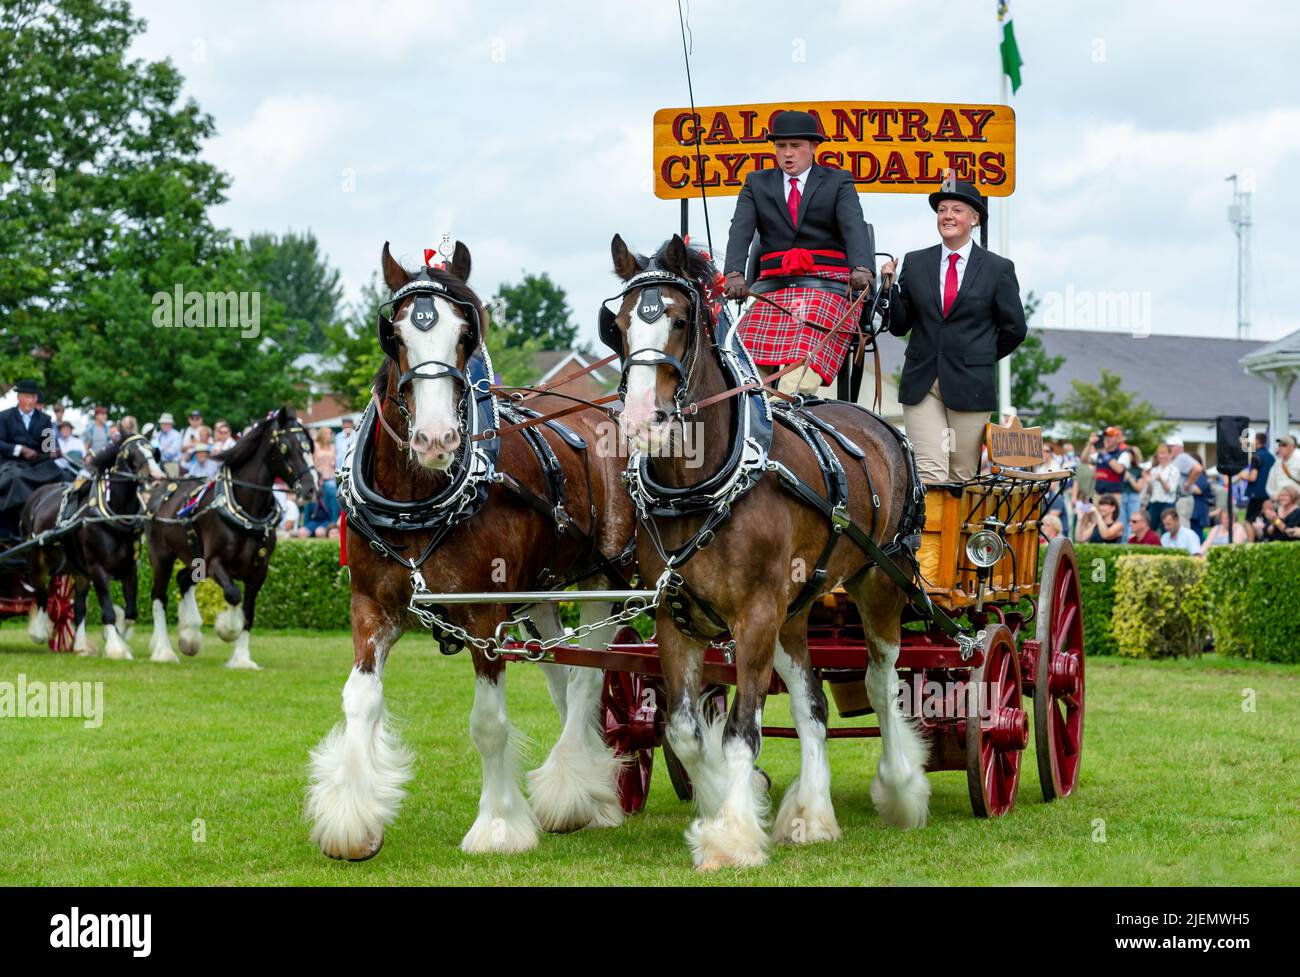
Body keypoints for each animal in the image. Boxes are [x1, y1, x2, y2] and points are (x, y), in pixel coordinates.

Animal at [20, 433, 165, 657]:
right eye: (130, 454)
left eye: (153, 451)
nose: (156, 477)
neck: (113, 514)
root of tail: (37, 495)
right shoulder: (98, 568)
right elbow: (107, 610)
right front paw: (116, 648)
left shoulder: (130, 568)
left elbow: (131, 613)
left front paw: (116, 637)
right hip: (36, 560)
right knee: (41, 594)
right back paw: (40, 632)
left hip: (79, 571)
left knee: (79, 608)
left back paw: (79, 645)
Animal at [301, 240, 631, 857]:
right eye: (395, 334)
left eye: (466, 333)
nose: (436, 440)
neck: (418, 502)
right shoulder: (372, 606)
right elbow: (359, 700)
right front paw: (352, 819)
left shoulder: (483, 614)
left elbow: (488, 723)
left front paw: (499, 825)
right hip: (540, 591)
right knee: (560, 674)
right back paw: (586, 789)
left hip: (607, 577)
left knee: (589, 676)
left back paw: (579, 790)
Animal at [603, 235, 930, 867]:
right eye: (621, 325)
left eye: (679, 321)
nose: (640, 421)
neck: (705, 483)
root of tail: (882, 424)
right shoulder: (676, 618)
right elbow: (685, 730)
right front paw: (723, 797)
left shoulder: (753, 616)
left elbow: (740, 731)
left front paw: (730, 836)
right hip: (795, 608)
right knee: (811, 706)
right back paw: (812, 815)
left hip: (880, 582)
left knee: (880, 684)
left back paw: (902, 788)